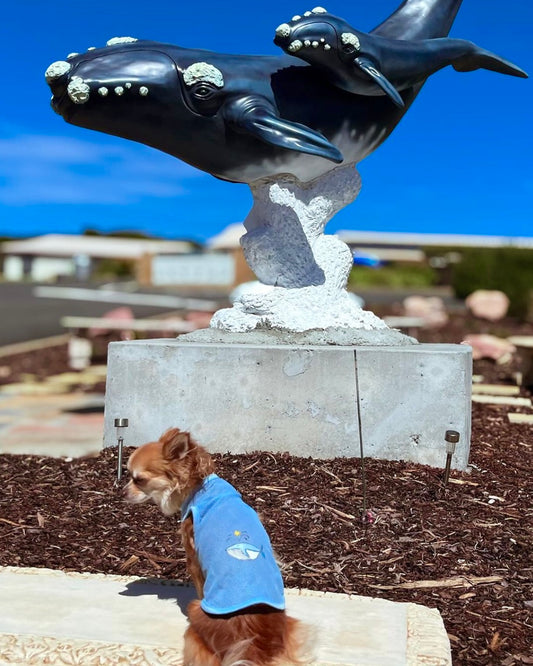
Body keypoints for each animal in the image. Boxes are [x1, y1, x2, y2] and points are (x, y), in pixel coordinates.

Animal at [124, 428, 308, 660]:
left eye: (139, 480)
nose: (122, 491)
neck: (199, 487)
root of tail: (254, 644)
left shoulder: (193, 558)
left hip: (196, 609)